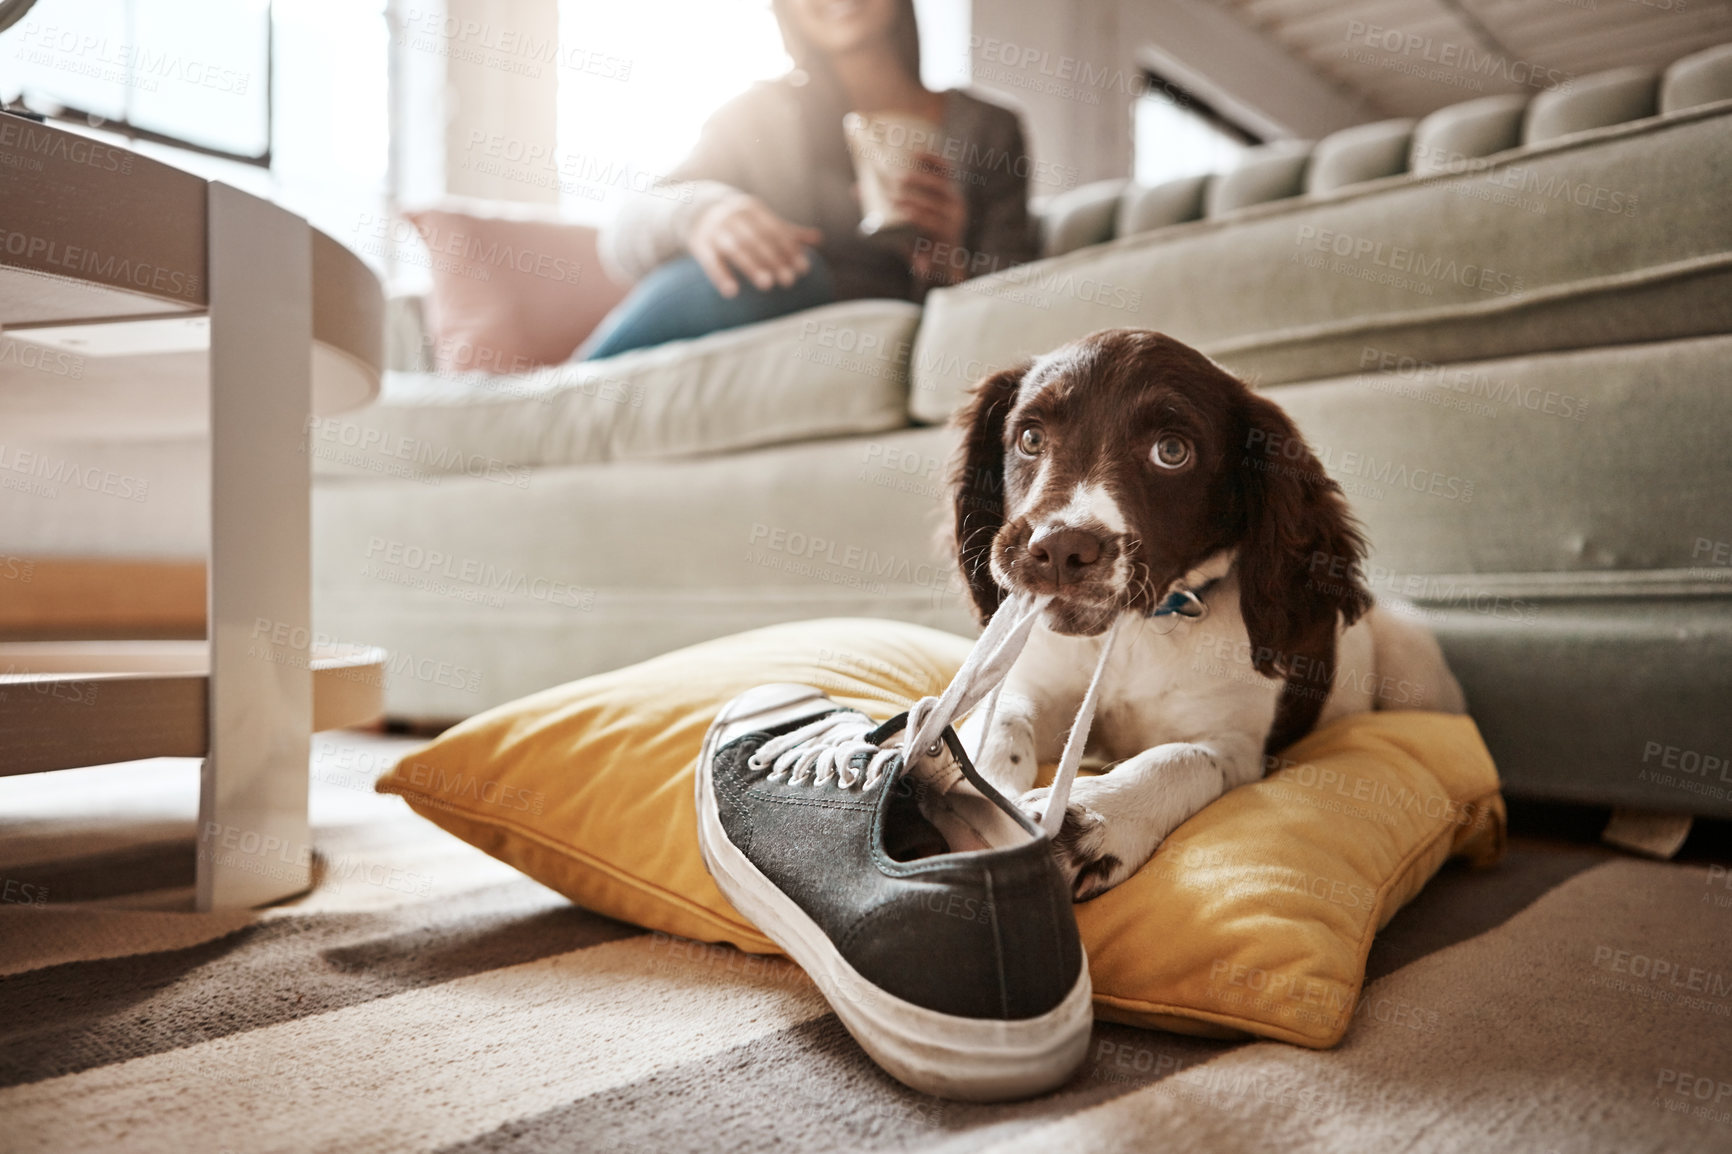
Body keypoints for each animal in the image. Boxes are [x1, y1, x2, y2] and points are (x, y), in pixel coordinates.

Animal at [949, 327, 1461, 894]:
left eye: (1172, 451)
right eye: (1031, 439)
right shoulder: (1038, 683)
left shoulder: (1236, 748)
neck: (1137, 634)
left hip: (1415, 665)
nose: (1060, 549)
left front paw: (1089, 821)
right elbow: (1002, 718)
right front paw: (981, 786)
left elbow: (1181, 758)